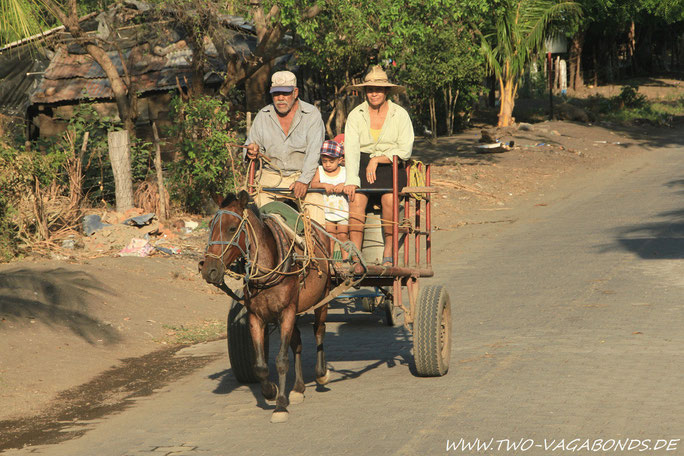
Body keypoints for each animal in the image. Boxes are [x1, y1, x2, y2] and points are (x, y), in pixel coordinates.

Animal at [199, 190, 332, 424]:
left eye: (232, 228)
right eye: (211, 226)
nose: (209, 270)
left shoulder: (287, 312)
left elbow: (281, 360)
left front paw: (280, 405)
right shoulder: (256, 316)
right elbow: (260, 365)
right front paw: (270, 392)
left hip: (322, 297)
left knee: (319, 331)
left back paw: (321, 374)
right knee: (297, 342)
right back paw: (298, 388)